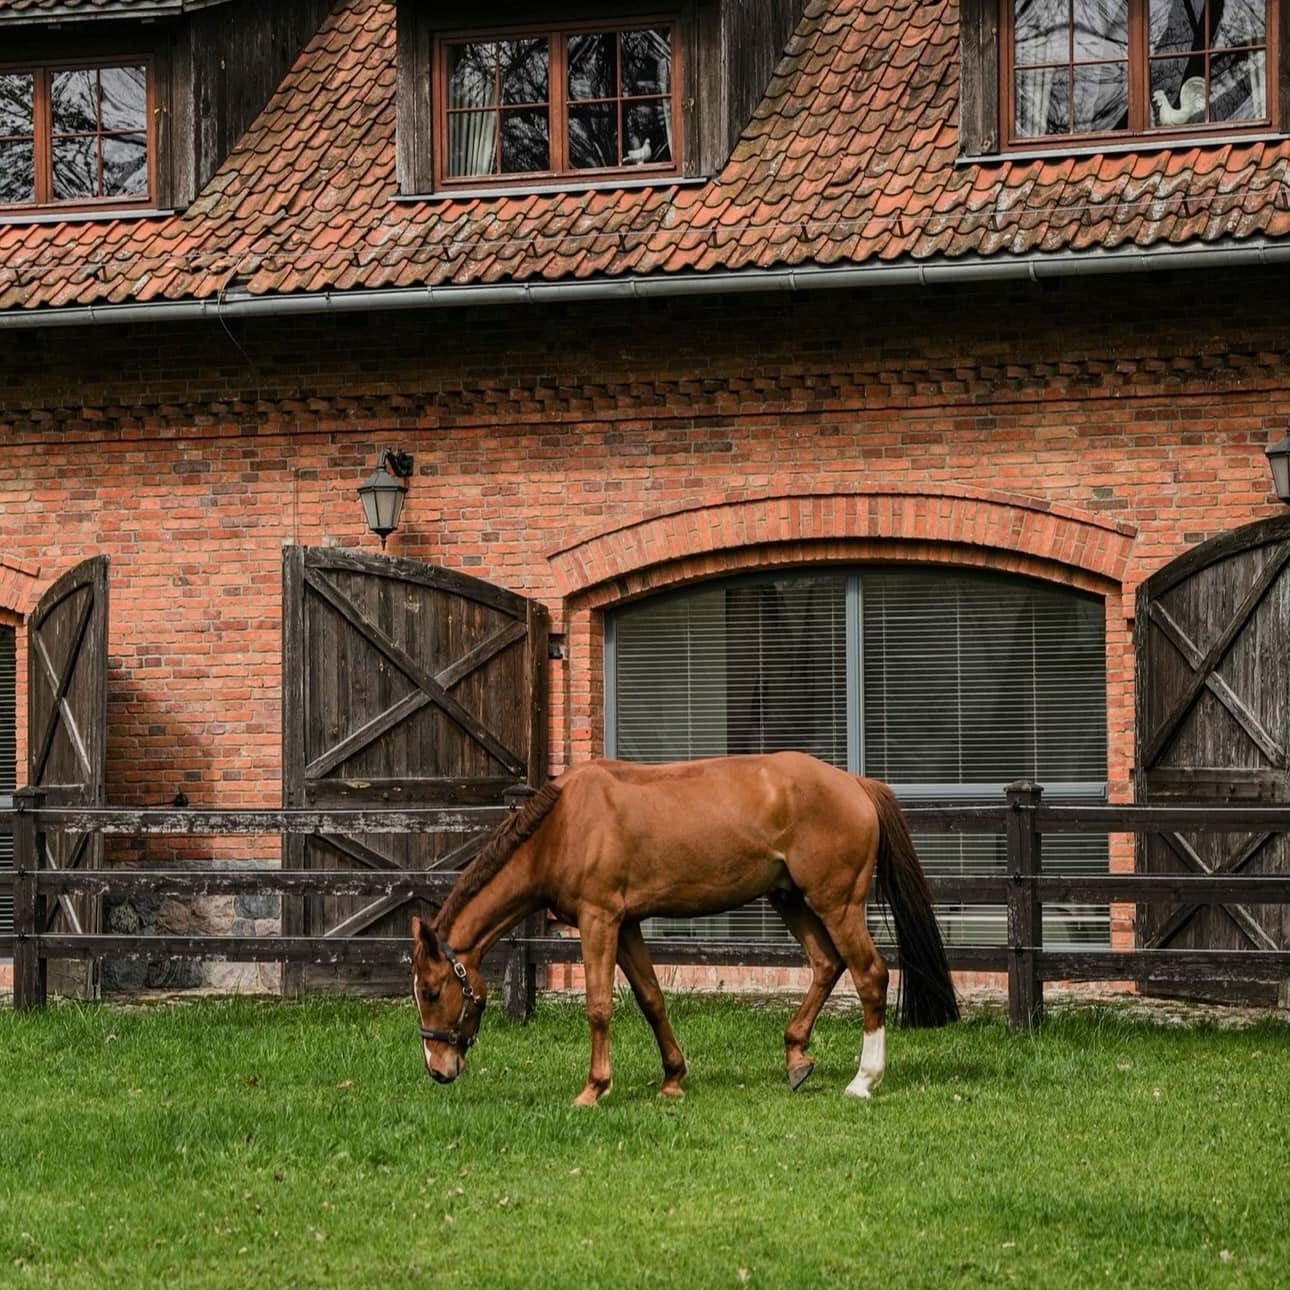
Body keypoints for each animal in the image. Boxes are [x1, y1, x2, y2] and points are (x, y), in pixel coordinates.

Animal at [412, 753, 959, 1104]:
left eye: (434, 991)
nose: (437, 1069)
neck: (564, 824)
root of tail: (856, 784)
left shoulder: (600, 919)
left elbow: (598, 1006)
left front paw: (594, 1088)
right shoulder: (627, 924)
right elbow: (651, 999)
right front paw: (673, 1077)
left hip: (836, 903)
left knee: (870, 975)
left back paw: (863, 1080)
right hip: (791, 900)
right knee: (828, 964)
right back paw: (796, 1057)